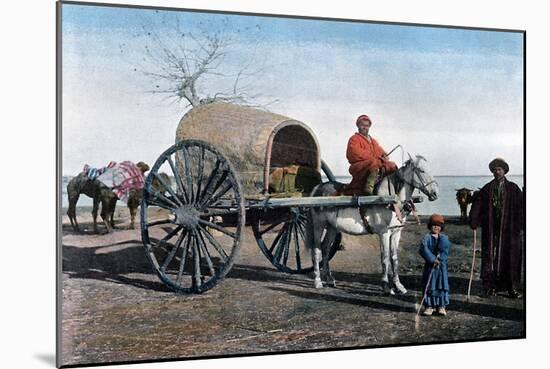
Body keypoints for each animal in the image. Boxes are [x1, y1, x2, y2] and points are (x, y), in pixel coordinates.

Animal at [306, 155, 440, 294]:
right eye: (421, 170)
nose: (435, 193)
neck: (391, 199)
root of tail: (317, 188)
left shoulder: (396, 233)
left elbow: (394, 258)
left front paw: (398, 285)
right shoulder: (384, 233)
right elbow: (385, 258)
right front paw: (386, 286)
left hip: (332, 228)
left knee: (326, 248)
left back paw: (329, 279)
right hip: (318, 225)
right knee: (316, 250)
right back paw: (318, 281)